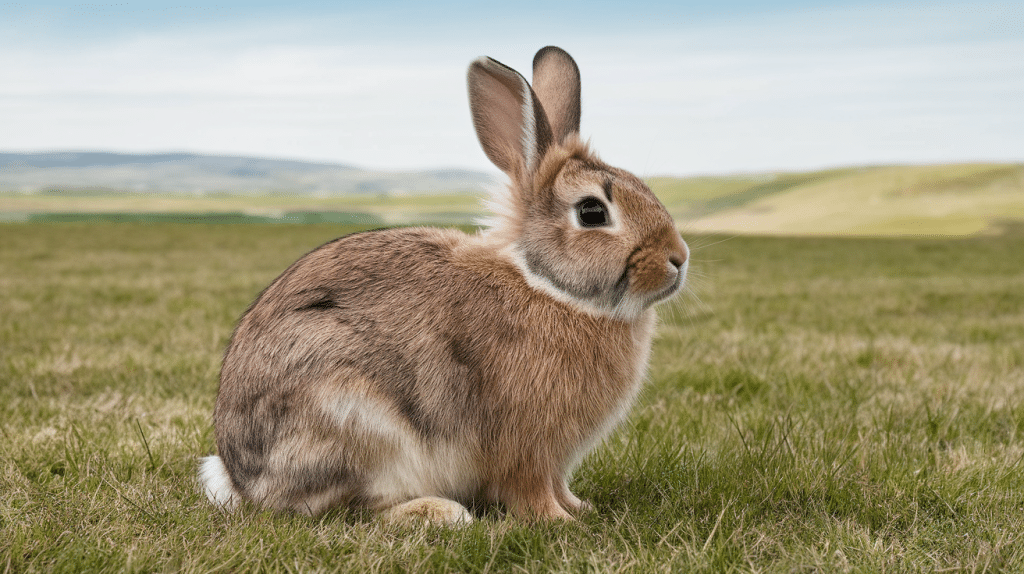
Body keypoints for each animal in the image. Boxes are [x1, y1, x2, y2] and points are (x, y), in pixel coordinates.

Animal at [197, 47, 688, 523]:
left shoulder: (555, 459)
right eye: (592, 212)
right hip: (354, 419)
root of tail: (244, 482)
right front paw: (560, 521)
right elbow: (530, 491)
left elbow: (559, 485)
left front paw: (580, 508)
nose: (678, 258)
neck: (549, 287)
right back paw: (439, 513)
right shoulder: (526, 448)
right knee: (351, 509)